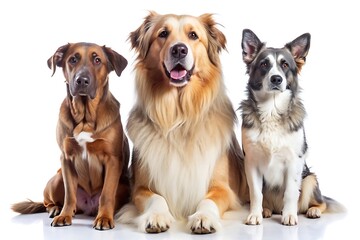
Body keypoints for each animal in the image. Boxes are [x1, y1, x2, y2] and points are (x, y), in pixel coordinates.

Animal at [11, 42, 131, 230]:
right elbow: (70, 194)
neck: (85, 117)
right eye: (73, 59)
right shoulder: (66, 159)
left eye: (97, 60)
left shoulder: (112, 160)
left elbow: (106, 194)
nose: (82, 80)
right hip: (57, 179)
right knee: (48, 201)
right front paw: (64, 215)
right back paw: (56, 209)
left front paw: (104, 217)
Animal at [116, 12, 249, 233]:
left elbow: (208, 200)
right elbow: (156, 198)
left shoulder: (223, 188)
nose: (179, 49)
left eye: (193, 35)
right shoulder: (140, 189)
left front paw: (203, 217)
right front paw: (157, 216)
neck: (180, 117)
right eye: (163, 34)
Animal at [240, 29, 342, 226]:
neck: (271, 110)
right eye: (264, 64)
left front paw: (289, 215)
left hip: (309, 178)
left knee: (321, 202)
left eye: (285, 64)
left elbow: (290, 192)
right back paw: (266, 210)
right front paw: (255, 215)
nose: (276, 79)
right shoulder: (251, 162)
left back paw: (312, 210)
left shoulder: (295, 161)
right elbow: (256, 193)